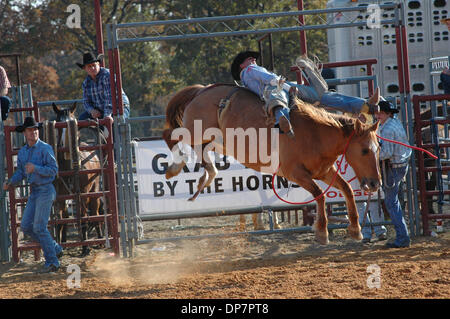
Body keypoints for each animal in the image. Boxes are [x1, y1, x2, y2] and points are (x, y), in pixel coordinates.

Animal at [162, 84, 380, 244]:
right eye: (364, 150)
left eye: (378, 148)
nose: (375, 183)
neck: (314, 135)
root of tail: (202, 90)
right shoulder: (295, 173)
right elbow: (319, 194)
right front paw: (321, 232)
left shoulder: (324, 172)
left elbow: (347, 189)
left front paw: (355, 230)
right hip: (194, 131)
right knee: (173, 136)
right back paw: (175, 169)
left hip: (215, 141)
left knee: (200, 151)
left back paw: (205, 176)